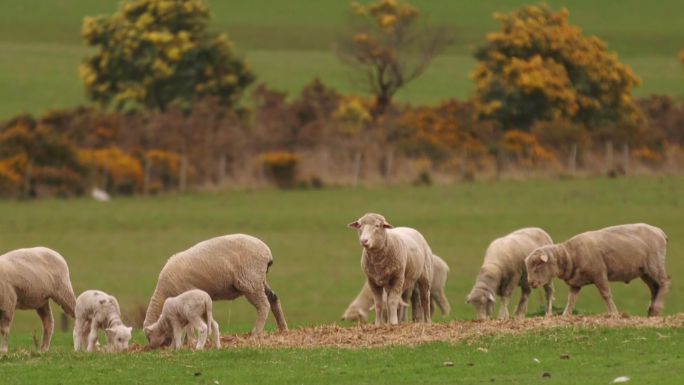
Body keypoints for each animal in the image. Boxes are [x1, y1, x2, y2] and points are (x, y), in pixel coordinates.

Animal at [143, 232, 288, 346]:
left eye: (149, 336)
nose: (152, 347)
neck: (164, 292)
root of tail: (267, 253)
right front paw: (187, 341)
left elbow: (189, 324)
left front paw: (189, 341)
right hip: (259, 280)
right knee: (274, 298)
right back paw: (283, 330)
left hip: (250, 281)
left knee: (263, 305)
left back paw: (255, 335)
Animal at [524, 222, 668, 316]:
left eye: (538, 265)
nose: (531, 282)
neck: (570, 255)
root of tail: (660, 231)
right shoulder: (575, 282)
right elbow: (571, 300)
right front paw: (565, 315)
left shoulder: (599, 274)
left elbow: (606, 294)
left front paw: (613, 313)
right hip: (645, 272)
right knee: (654, 288)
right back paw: (651, 313)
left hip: (655, 264)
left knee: (664, 283)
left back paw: (656, 309)